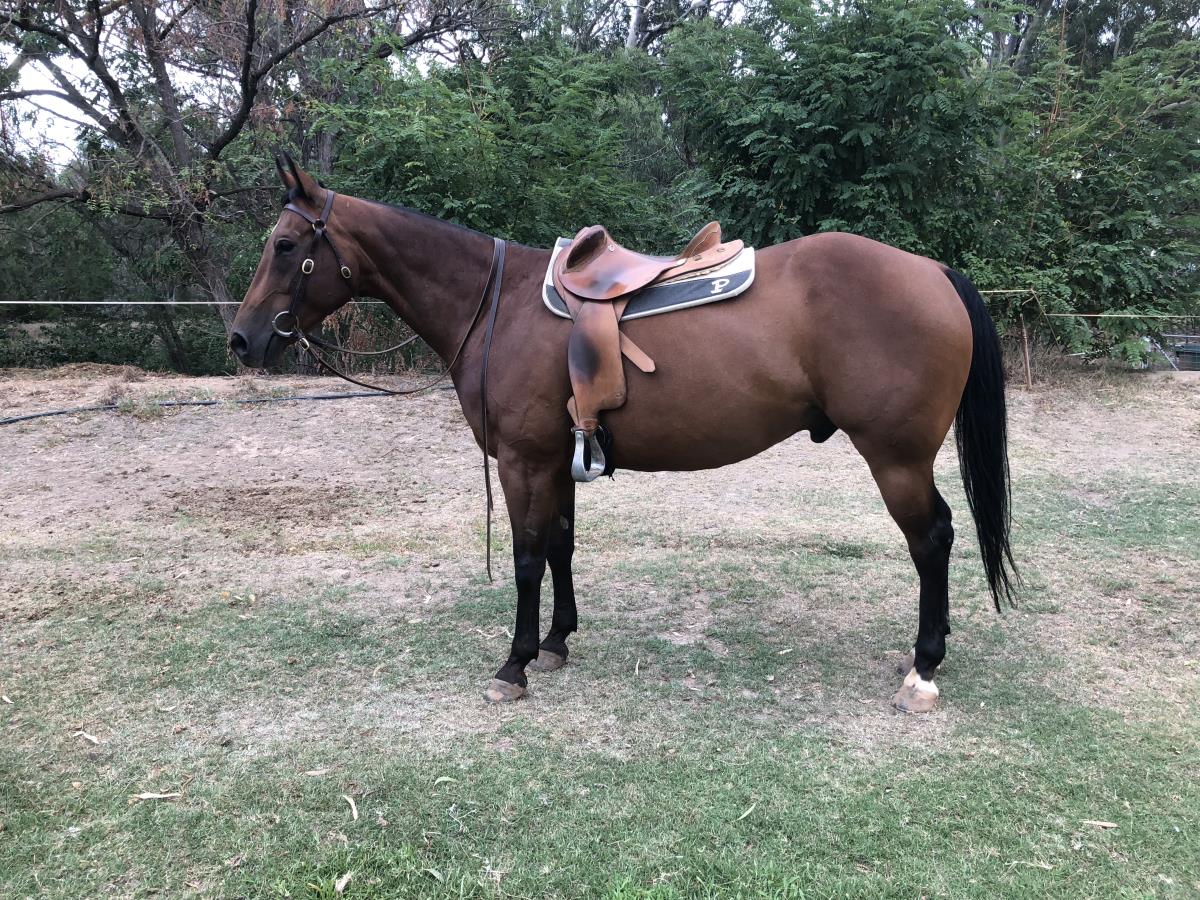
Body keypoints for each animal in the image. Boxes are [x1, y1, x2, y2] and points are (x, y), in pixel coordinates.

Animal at [230, 153, 1016, 714]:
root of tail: (934, 272)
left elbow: (526, 558)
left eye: (285, 244)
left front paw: (514, 664)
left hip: (897, 456)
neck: (500, 305)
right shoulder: (557, 459)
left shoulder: (523, 462)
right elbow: (560, 547)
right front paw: (555, 642)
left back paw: (924, 668)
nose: (241, 339)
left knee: (933, 538)